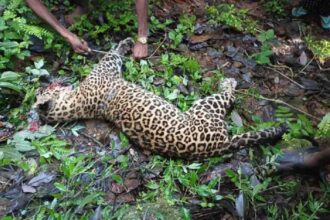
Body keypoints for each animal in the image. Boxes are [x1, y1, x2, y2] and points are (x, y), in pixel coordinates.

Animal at [32, 38, 288, 160]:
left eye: (45, 88)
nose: (50, 82)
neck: (75, 103)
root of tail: (221, 144)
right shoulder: (107, 68)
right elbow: (113, 54)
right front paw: (126, 43)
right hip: (205, 107)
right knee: (228, 94)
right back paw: (229, 81)